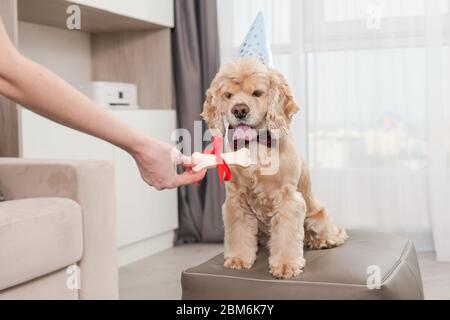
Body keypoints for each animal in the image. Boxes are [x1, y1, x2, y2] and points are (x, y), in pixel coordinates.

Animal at [200, 58, 348, 278]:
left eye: (257, 93)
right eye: (228, 95)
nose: (239, 110)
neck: (255, 143)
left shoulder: (288, 198)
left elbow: (287, 235)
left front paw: (286, 265)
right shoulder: (236, 198)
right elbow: (238, 232)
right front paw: (238, 258)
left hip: (317, 215)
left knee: (329, 232)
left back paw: (323, 240)